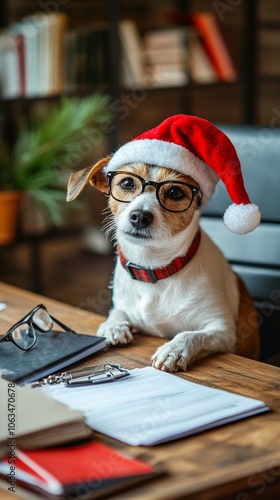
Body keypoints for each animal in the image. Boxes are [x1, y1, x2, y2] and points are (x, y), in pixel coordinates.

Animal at [66, 114, 262, 372]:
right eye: (127, 183)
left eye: (176, 193)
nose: (140, 216)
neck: (154, 268)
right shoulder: (124, 307)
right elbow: (117, 312)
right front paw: (112, 326)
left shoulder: (222, 330)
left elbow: (191, 334)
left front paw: (174, 349)